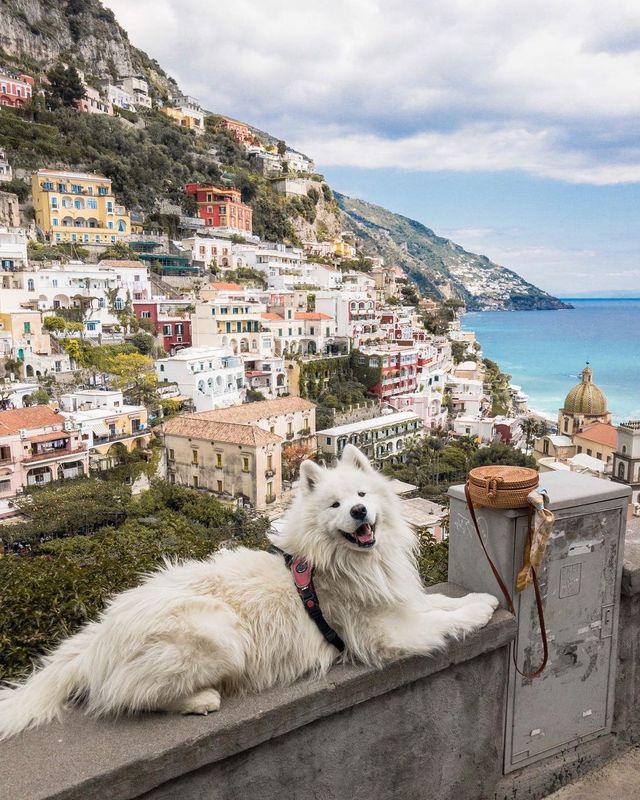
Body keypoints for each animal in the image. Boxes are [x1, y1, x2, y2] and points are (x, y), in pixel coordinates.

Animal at [0, 444, 498, 736]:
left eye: (362, 495)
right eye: (335, 505)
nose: (359, 512)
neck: (344, 563)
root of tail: (96, 642)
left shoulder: (399, 601)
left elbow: (437, 601)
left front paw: (480, 597)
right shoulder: (384, 632)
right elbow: (443, 621)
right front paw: (481, 612)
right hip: (216, 630)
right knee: (132, 697)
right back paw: (201, 699)